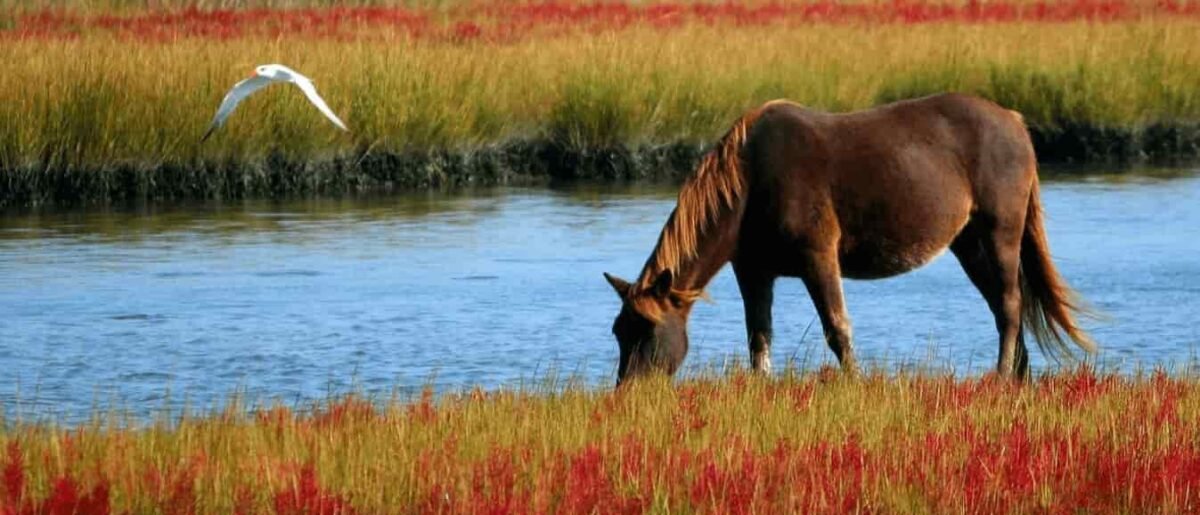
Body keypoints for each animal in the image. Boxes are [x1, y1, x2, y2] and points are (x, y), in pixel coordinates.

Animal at [603, 93, 1095, 385]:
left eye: (646, 330)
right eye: (618, 331)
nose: (628, 393)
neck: (749, 183)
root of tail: (1015, 122)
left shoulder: (818, 257)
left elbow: (837, 328)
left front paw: (854, 384)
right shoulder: (754, 271)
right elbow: (759, 337)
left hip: (1000, 232)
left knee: (1010, 305)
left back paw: (1001, 376)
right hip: (968, 243)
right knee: (1003, 306)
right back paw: (1018, 376)